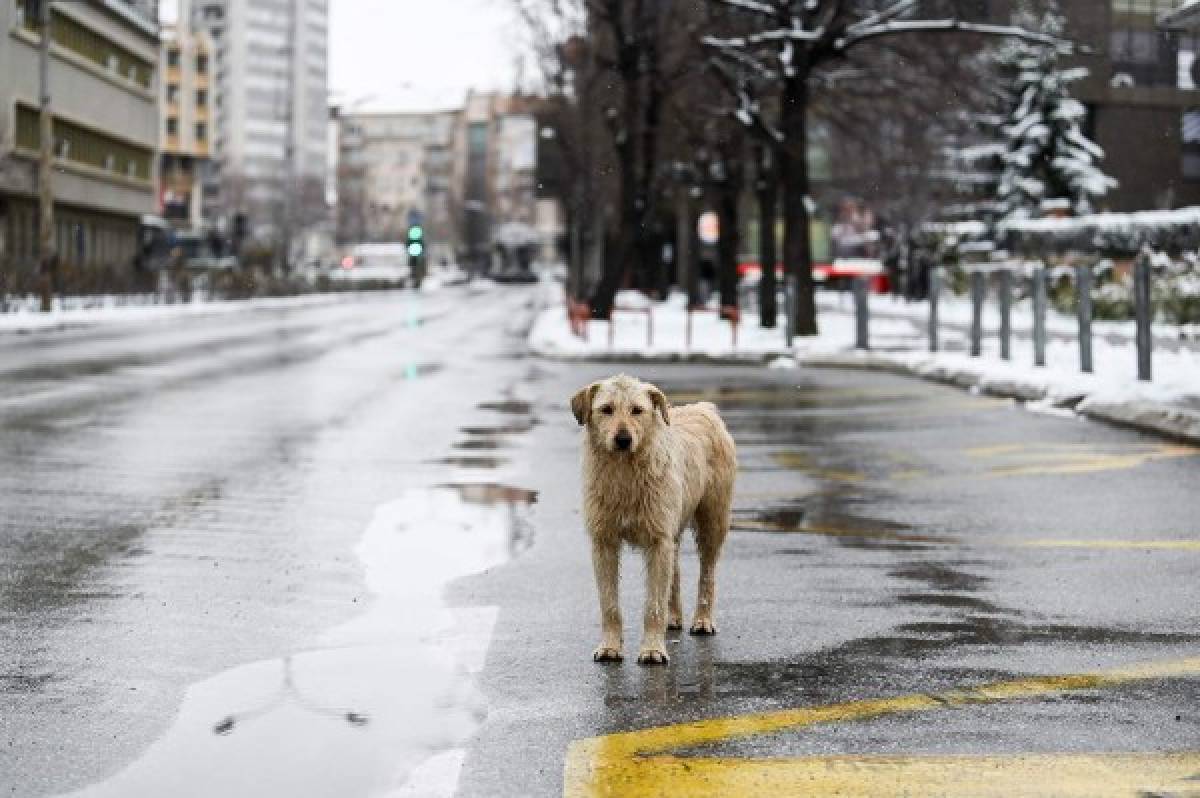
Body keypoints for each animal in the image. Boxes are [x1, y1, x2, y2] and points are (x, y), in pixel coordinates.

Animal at [568, 376, 734, 662]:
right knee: (674, 572)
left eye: (637, 410)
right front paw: (610, 646)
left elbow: (653, 604)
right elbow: (609, 603)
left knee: (707, 573)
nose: (623, 439)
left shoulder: (658, 541)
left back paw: (702, 620)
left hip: (713, 521)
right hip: (673, 530)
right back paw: (674, 617)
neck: (624, 472)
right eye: (606, 409)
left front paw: (653, 650)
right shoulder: (604, 542)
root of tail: (704, 407)